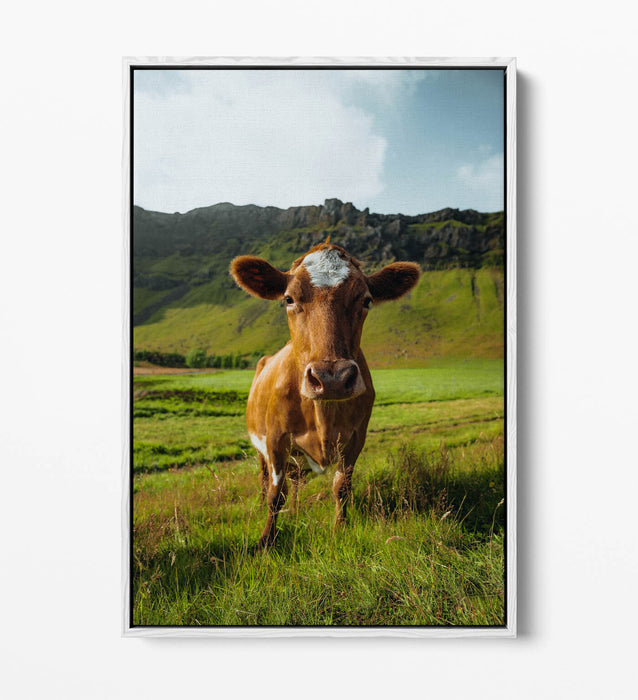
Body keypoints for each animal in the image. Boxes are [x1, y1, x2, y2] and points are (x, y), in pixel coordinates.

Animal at [230, 242, 420, 547]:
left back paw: (296, 511)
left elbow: (341, 487)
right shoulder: (275, 440)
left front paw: (339, 529)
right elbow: (275, 495)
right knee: (264, 479)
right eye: (288, 299)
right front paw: (266, 540)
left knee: (296, 481)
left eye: (366, 300)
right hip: (260, 447)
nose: (332, 378)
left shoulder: (355, 438)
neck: (323, 415)